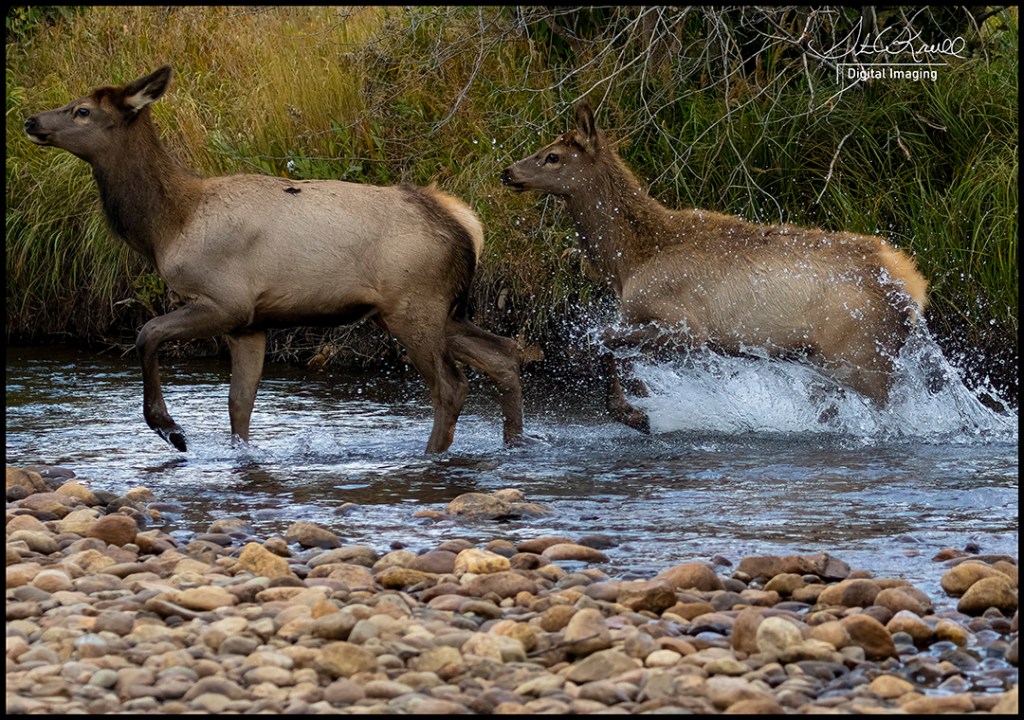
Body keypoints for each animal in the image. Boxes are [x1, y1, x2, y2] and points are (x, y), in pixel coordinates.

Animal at [24, 65, 528, 454]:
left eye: (82, 111)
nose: (30, 120)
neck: (167, 225)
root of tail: (466, 224)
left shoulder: (226, 301)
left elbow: (146, 333)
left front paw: (171, 430)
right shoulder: (250, 323)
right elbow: (239, 405)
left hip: (413, 305)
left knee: (451, 385)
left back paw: (431, 455)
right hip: (440, 308)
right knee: (505, 354)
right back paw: (513, 443)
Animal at [502, 100, 929, 432]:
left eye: (553, 157)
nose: (508, 171)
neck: (628, 262)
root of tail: (912, 284)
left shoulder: (686, 325)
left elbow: (598, 340)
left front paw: (635, 414)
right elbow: (605, 346)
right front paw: (635, 411)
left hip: (858, 352)